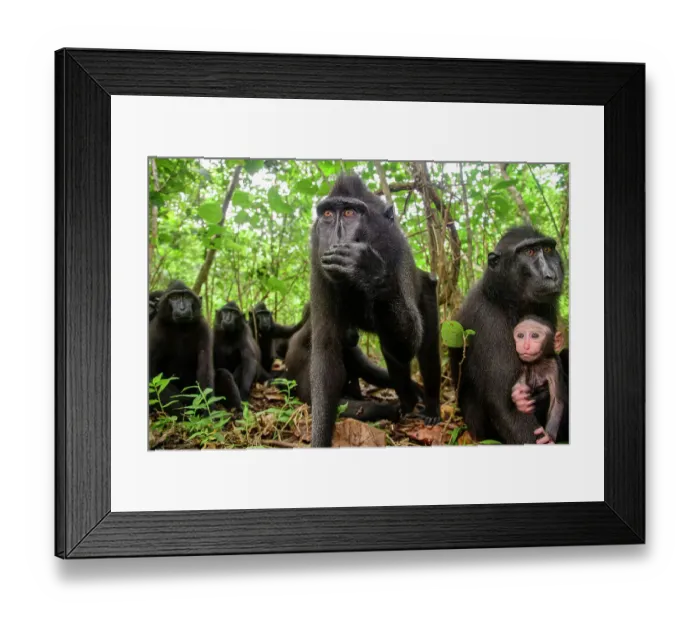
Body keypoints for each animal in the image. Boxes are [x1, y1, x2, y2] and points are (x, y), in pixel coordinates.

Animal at [148, 280, 215, 418]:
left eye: (188, 297)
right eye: (174, 298)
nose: (182, 308)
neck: (181, 328)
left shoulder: (204, 328)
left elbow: (205, 370)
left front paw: (206, 411)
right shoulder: (155, 330)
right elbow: (152, 377)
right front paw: (185, 412)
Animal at [308, 172, 442, 447]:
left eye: (350, 213)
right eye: (327, 214)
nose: (335, 237)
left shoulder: (398, 253)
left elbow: (410, 346)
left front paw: (370, 270)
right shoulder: (318, 263)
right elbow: (326, 351)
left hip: (428, 292)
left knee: (424, 351)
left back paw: (431, 407)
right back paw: (407, 403)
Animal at [512, 316, 567, 444]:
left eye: (534, 336)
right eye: (520, 335)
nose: (525, 346)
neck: (537, 363)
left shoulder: (554, 366)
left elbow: (557, 400)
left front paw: (548, 437)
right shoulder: (523, 364)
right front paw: (520, 400)